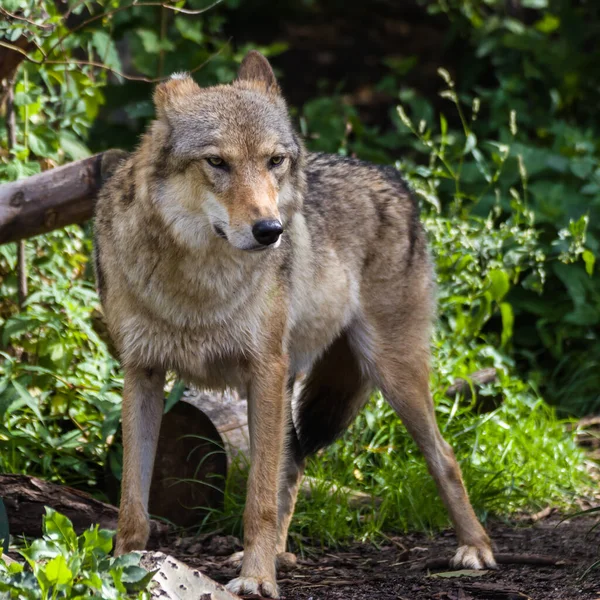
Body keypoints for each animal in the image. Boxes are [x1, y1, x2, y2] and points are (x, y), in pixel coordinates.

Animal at [95, 50, 496, 596]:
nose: (271, 231)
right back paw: (280, 554)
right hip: (299, 381)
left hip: (391, 375)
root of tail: (395, 178)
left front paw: (255, 579)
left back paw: (475, 547)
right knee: (296, 463)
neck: (197, 286)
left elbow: (257, 500)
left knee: (445, 457)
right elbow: (132, 502)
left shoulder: (261, 369)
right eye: (217, 162)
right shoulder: (142, 374)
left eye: (273, 161)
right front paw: (124, 567)